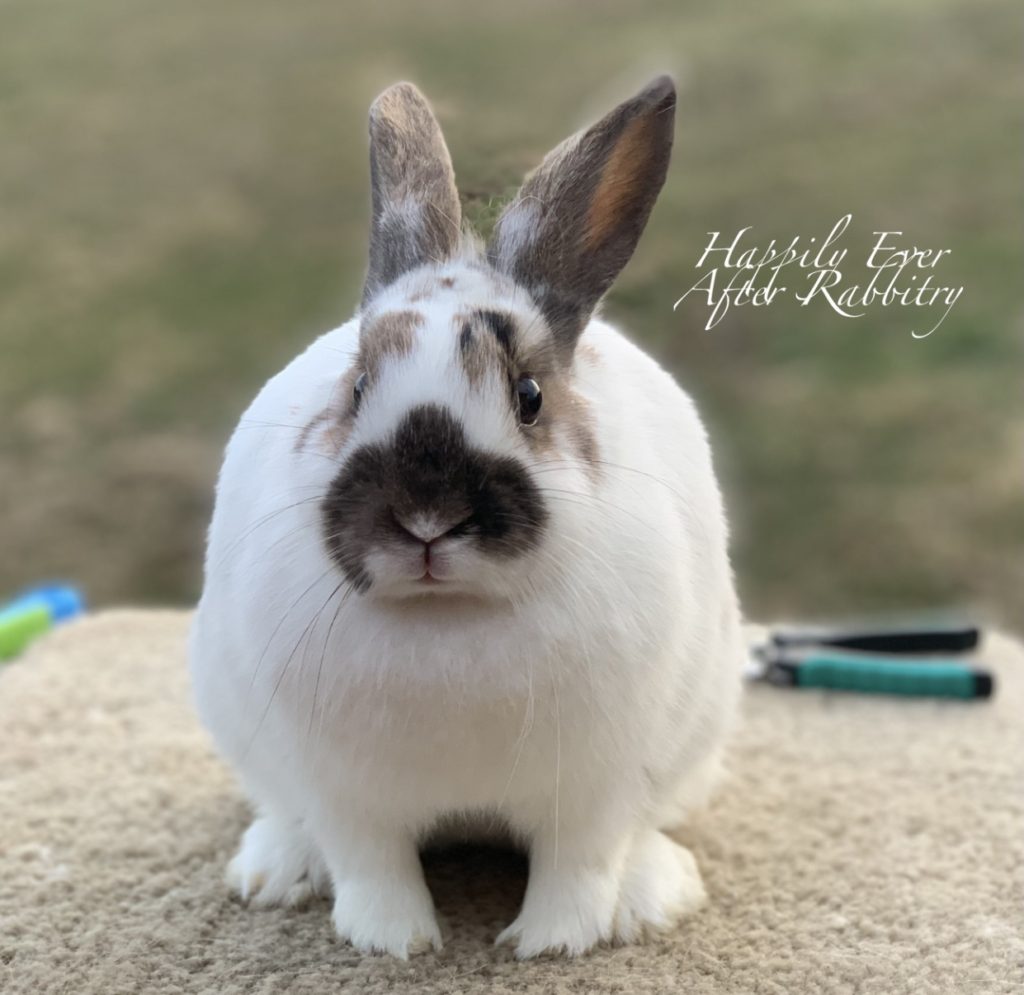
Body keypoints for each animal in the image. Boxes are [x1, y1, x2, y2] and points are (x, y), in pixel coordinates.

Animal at [189, 75, 744, 960]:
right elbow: (371, 862)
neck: (447, 616)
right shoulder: (347, 790)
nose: (426, 517)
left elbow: (578, 862)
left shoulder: (593, 787)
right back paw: (274, 872)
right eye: (356, 386)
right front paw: (395, 941)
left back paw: (653, 895)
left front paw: (551, 942)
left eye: (530, 395)